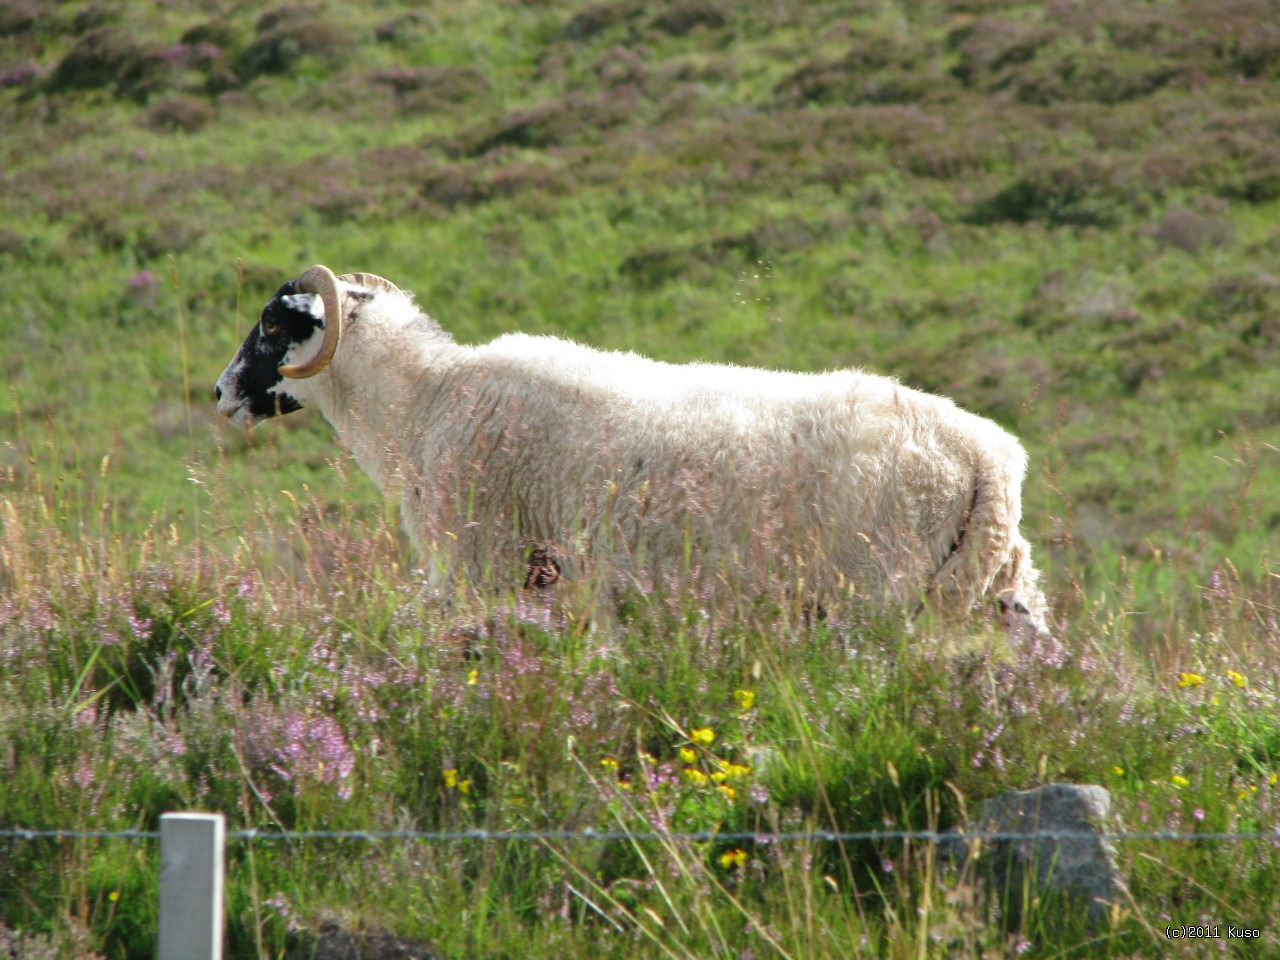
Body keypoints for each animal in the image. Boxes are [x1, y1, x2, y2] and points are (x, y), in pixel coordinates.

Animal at [212, 264, 1049, 640]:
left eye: (273, 324)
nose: (220, 394)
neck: (422, 401)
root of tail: (992, 457)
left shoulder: (475, 562)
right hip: (999, 586)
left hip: (879, 594)